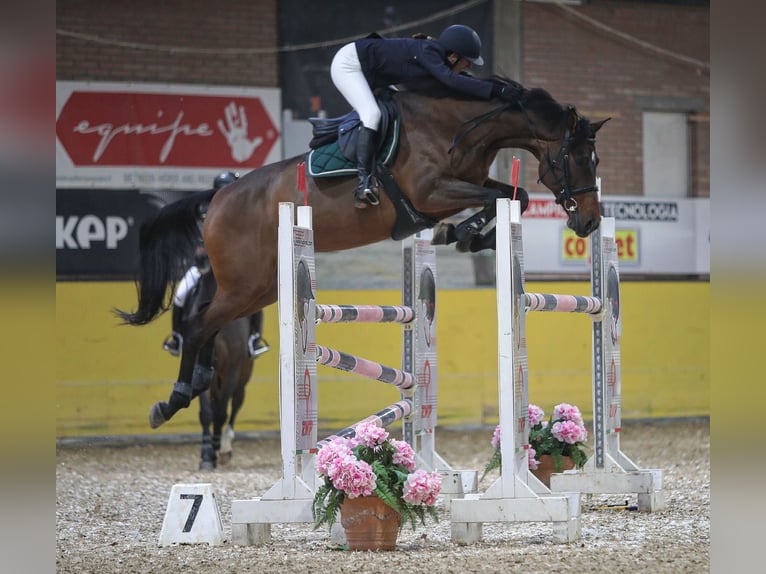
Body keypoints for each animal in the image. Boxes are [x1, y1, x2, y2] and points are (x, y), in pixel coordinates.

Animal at [117, 81, 608, 432]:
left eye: (595, 160)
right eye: (579, 157)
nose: (589, 222)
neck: (458, 129)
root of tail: (218, 196)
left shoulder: (462, 186)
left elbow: (512, 194)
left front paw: (463, 235)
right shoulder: (432, 192)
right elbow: (504, 196)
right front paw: (463, 233)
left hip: (258, 288)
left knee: (209, 321)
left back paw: (195, 382)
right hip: (244, 285)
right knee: (199, 324)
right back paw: (175, 397)